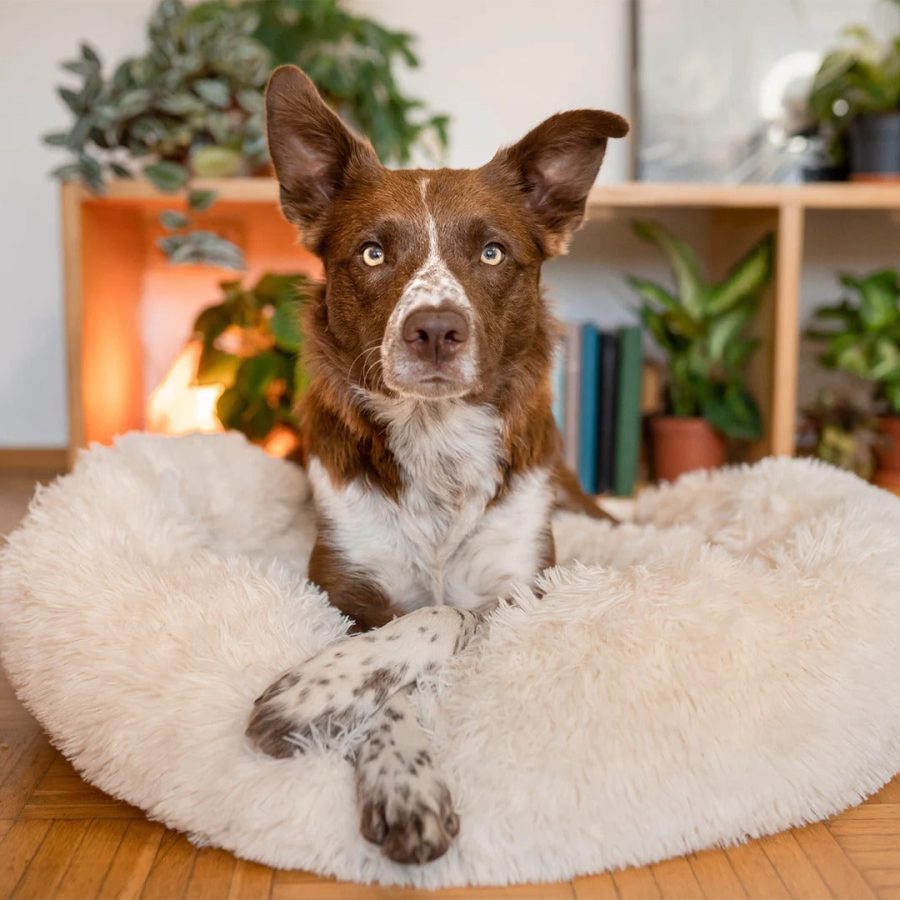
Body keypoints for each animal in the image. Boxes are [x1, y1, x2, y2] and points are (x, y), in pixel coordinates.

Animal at [246, 63, 624, 864]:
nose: (435, 330)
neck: (436, 442)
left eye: (492, 253)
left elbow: (442, 614)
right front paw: (399, 773)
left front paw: (310, 695)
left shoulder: (522, 594)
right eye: (372, 253)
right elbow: (398, 666)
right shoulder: (341, 591)